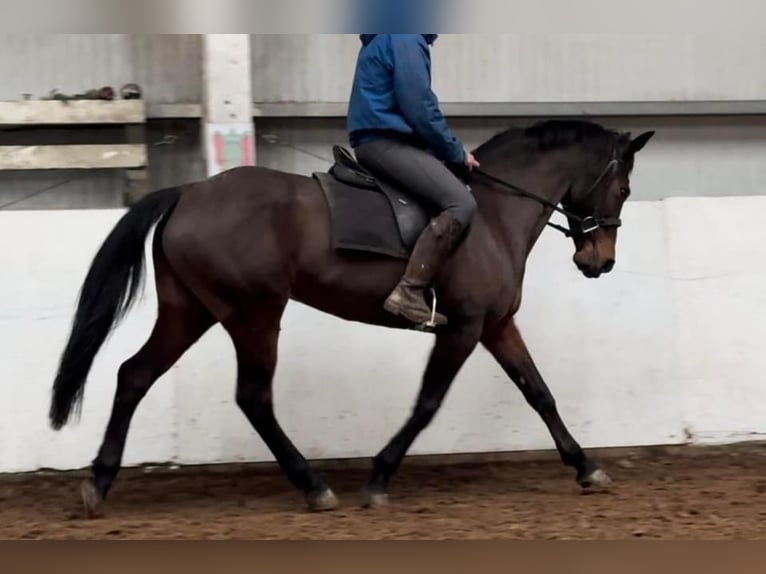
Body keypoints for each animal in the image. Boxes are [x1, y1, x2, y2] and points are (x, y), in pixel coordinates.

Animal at [49, 119, 656, 516]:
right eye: (623, 187)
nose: (599, 262)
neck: (494, 214)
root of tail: (190, 191)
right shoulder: (463, 328)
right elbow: (428, 402)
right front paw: (380, 476)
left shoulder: (496, 325)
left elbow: (539, 392)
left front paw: (586, 467)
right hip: (254, 313)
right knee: (253, 397)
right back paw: (314, 487)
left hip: (190, 310)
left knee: (134, 375)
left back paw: (99, 483)